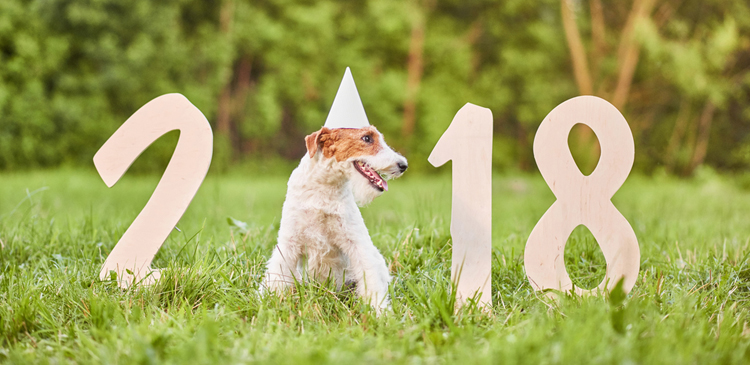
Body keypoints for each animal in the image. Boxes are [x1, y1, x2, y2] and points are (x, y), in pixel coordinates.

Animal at [262, 126, 408, 312]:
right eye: (367, 138)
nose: (403, 165)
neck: (324, 187)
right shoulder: (289, 243)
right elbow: (276, 276)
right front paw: (267, 302)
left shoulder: (357, 243)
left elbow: (371, 280)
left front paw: (379, 311)